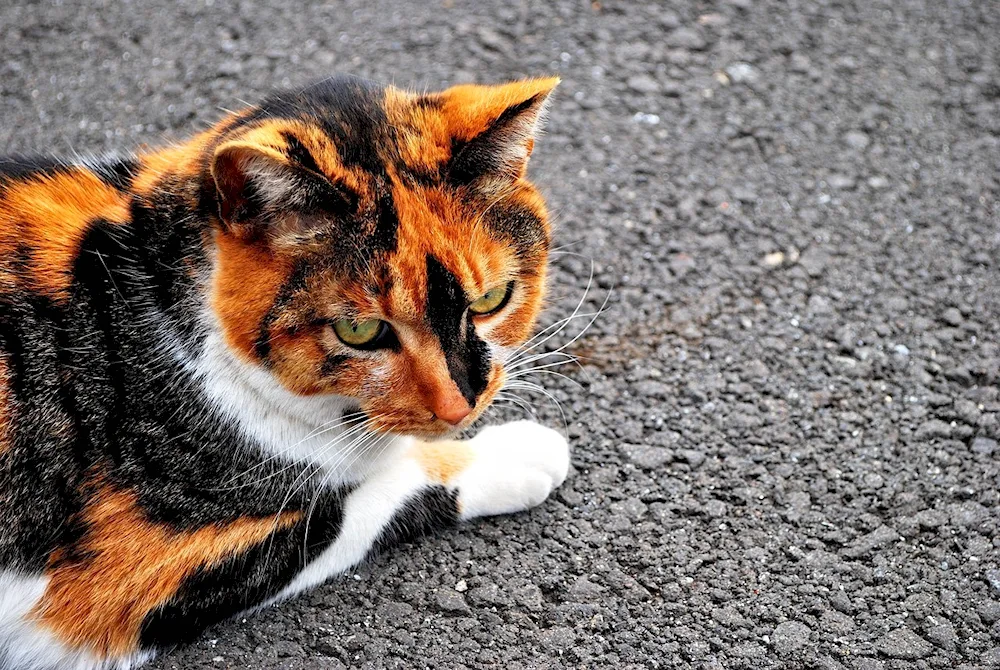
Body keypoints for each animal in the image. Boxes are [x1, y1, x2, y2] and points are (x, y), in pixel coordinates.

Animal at [0, 75, 568, 670]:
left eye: (490, 301)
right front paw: (519, 453)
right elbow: (367, 499)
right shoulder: (123, 584)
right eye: (359, 332)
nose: (460, 407)